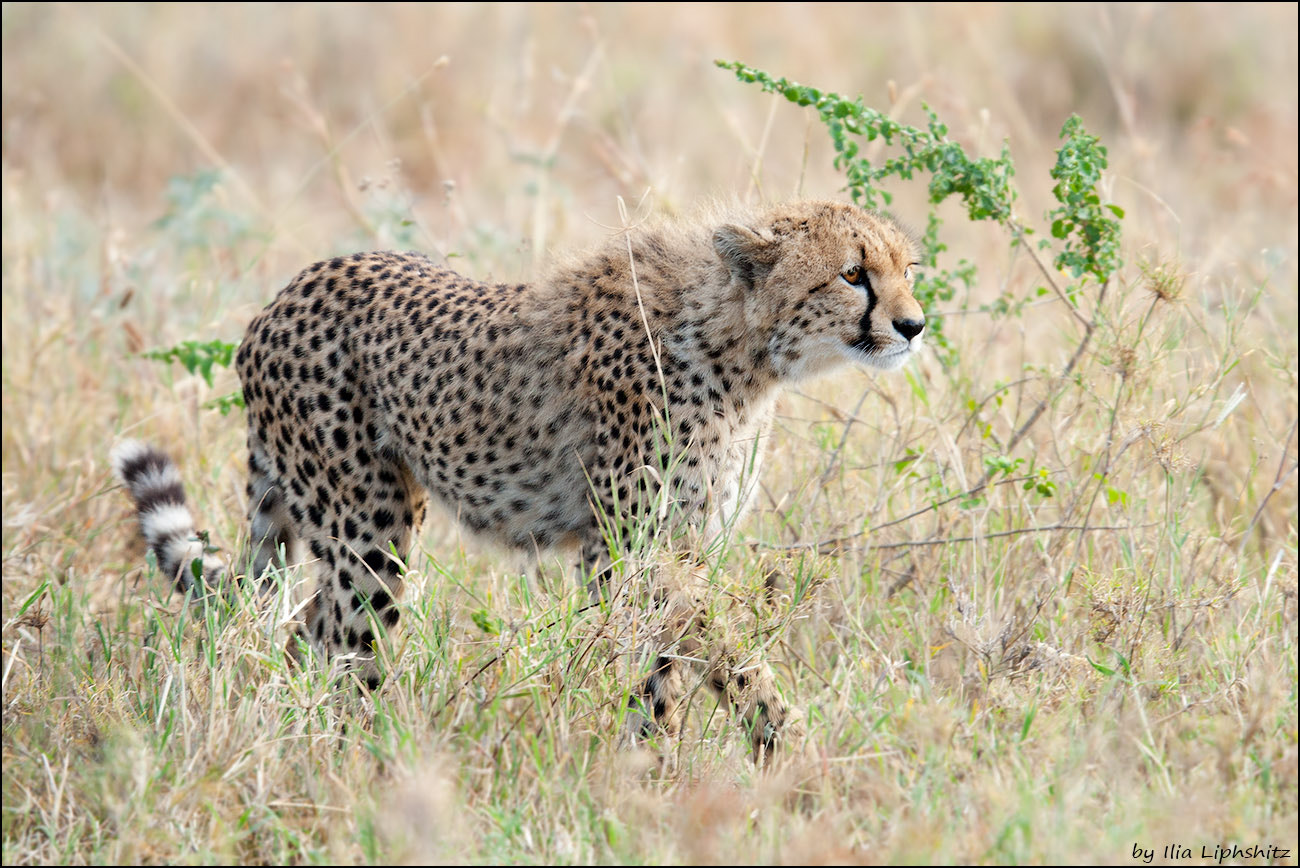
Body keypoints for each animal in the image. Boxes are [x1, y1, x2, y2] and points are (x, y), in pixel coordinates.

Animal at [114, 200, 925, 764]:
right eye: (853, 274)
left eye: (906, 269)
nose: (915, 326)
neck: (740, 346)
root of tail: (284, 296)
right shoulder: (626, 550)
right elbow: (690, 648)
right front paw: (728, 746)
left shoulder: (683, 542)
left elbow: (676, 656)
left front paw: (675, 765)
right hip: (366, 529)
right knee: (342, 642)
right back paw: (356, 764)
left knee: (301, 631)